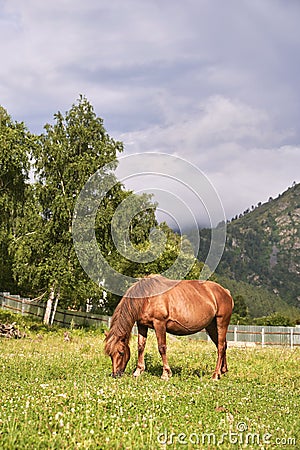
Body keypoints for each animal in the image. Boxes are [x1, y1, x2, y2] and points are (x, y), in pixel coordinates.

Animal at [104, 274, 233, 380]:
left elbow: (162, 348)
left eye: (121, 352)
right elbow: (140, 346)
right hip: (211, 327)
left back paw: (215, 375)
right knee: (222, 345)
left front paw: (166, 373)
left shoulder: (159, 324)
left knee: (221, 347)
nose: (115, 375)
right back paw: (222, 371)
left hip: (221, 323)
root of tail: (226, 291)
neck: (147, 297)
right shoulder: (141, 325)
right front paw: (138, 371)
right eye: (110, 354)